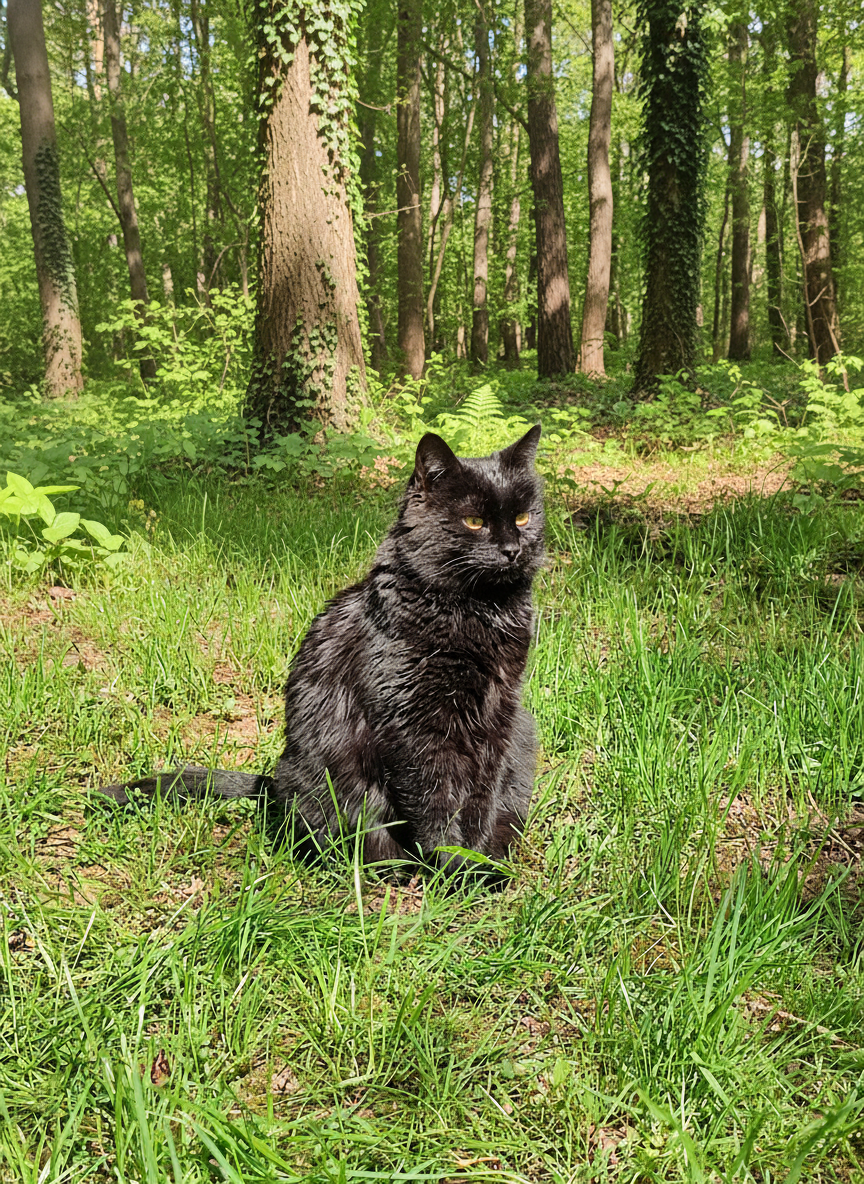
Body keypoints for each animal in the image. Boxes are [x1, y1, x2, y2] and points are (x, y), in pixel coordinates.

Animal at [98, 424, 545, 874]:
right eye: (474, 521)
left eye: (523, 517)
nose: (512, 550)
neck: (479, 612)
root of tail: (275, 783)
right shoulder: (414, 722)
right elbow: (434, 797)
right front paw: (453, 865)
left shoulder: (500, 716)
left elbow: (481, 795)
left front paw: (482, 861)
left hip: (524, 734)